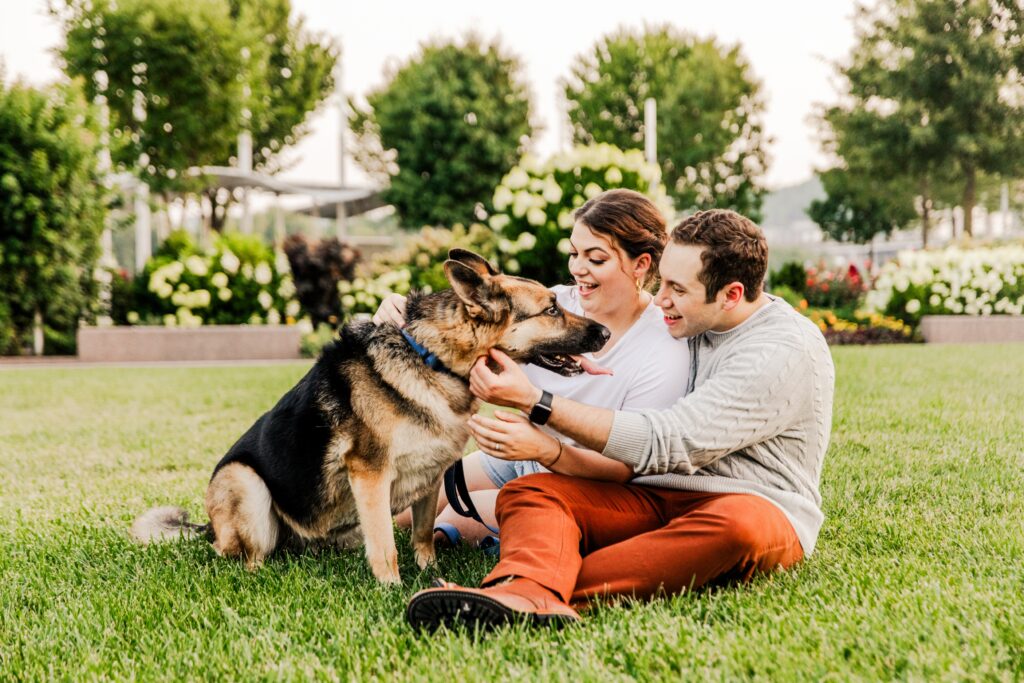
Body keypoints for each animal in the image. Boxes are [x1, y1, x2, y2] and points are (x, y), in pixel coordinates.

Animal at [128, 250, 606, 581]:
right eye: (551, 309)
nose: (604, 331)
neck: (432, 361)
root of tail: (208, 528)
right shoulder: (371, 475)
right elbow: (386, 545)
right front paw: (392, 587)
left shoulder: (433, 477)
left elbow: (421, 533)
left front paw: (430, 575)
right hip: (246, 485)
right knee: (240, 555)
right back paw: (258, 572)